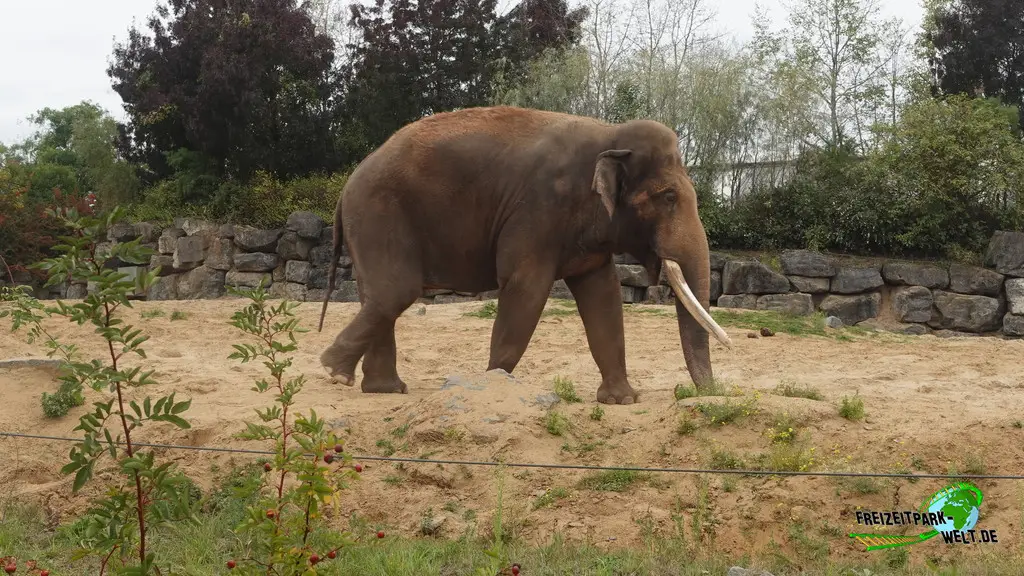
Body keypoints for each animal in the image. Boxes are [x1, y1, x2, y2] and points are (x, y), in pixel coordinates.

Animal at [316, 105, 733, 404]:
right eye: (669, 197)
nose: (704, 394)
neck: (609, 133)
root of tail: (346, 186)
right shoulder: (537, 210)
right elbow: (525, 289)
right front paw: (493, 385)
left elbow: (603, 297)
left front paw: (621, 401)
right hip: (379, 213)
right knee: (396, 291)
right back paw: (333, 372)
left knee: (379, 294)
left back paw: (381, 389)